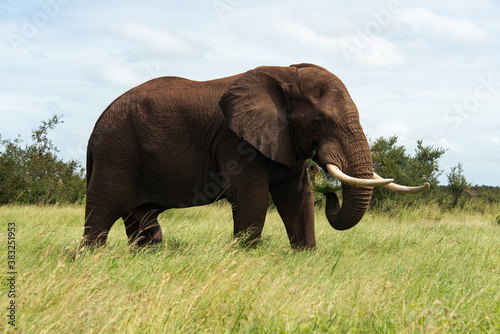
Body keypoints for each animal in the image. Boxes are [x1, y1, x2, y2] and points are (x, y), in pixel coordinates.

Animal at [84, 64, 428, 249]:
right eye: (319, 122)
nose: (331, 193)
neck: (286, 75)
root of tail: (95, 126)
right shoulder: (236, 142)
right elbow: (253, 198)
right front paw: (245, 256)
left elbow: (298, 197)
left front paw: (306, 256)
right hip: (116, 152)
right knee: (102, 212)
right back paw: (93, 258)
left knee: (142, 221)